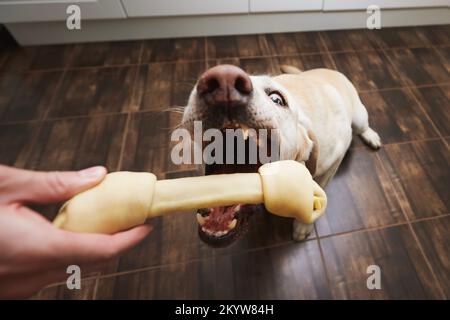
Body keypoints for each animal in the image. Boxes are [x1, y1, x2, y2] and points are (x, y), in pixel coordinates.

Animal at [181, 63, 382, 246]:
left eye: (277, 99)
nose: (224, 78)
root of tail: (330, 70)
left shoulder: (332, 164)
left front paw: (303, 225)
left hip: (359, 119)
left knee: (364, 126)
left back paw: (371, 136)